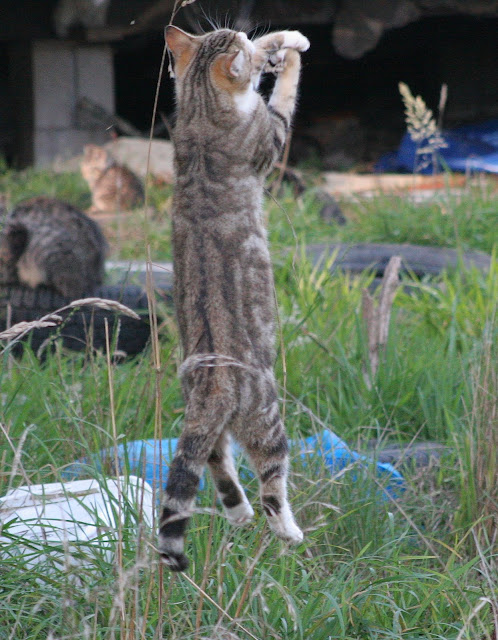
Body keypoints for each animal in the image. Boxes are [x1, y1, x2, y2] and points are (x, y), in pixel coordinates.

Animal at [160, 25, 310, 568]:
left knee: (212, 462)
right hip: (266, 416)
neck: (201, 111)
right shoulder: (270, 137)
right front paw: (288, 53)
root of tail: (213, 386)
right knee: (270, 483)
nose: (246, 35)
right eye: (239, 48)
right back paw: (287, 531)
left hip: (204, 420)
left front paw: (282, 40)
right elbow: (283, 100)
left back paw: (238, 512)